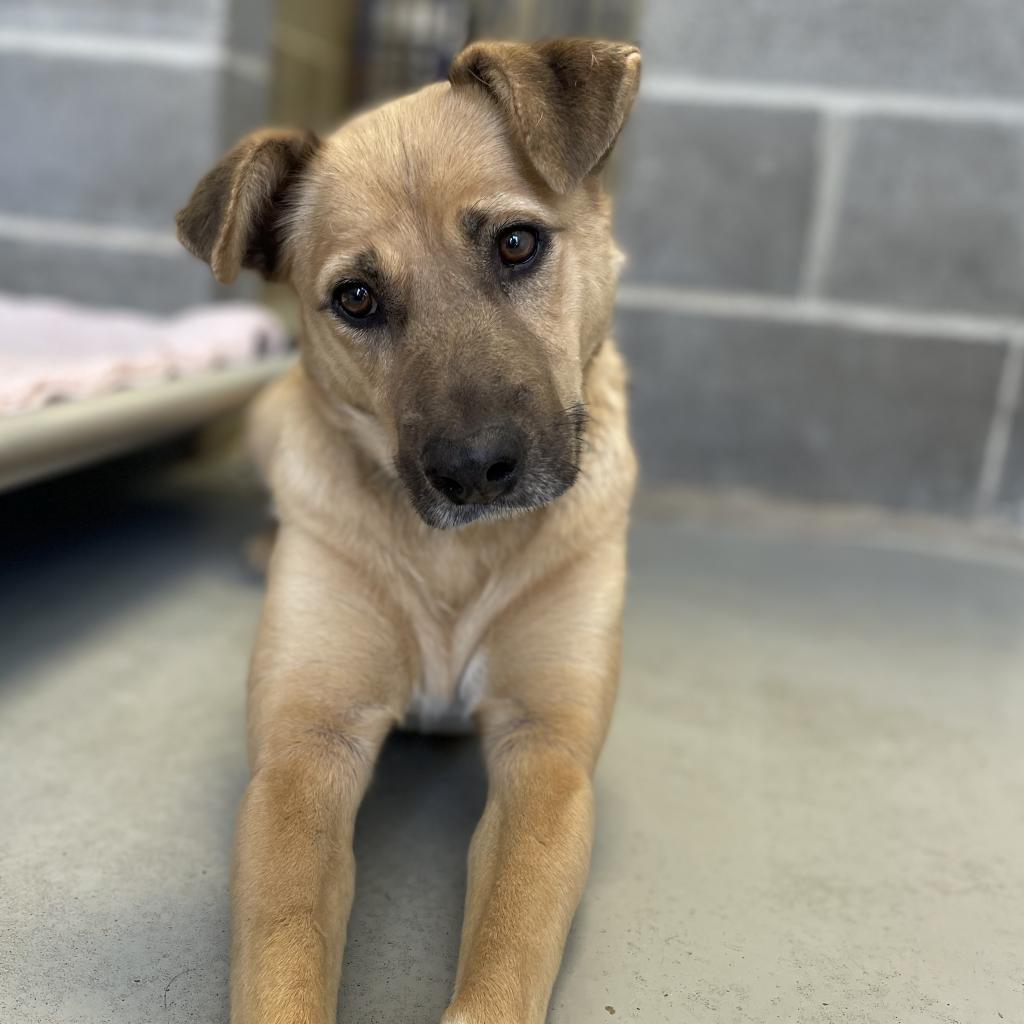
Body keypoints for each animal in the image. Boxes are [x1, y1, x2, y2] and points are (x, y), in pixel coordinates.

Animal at [176, 34, 638, 1024]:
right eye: (355, 298)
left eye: (516, 243)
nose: (474, 470)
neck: (457, 554)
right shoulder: (304, 753)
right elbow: (283, 955)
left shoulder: (546, 754)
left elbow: (505, 950)